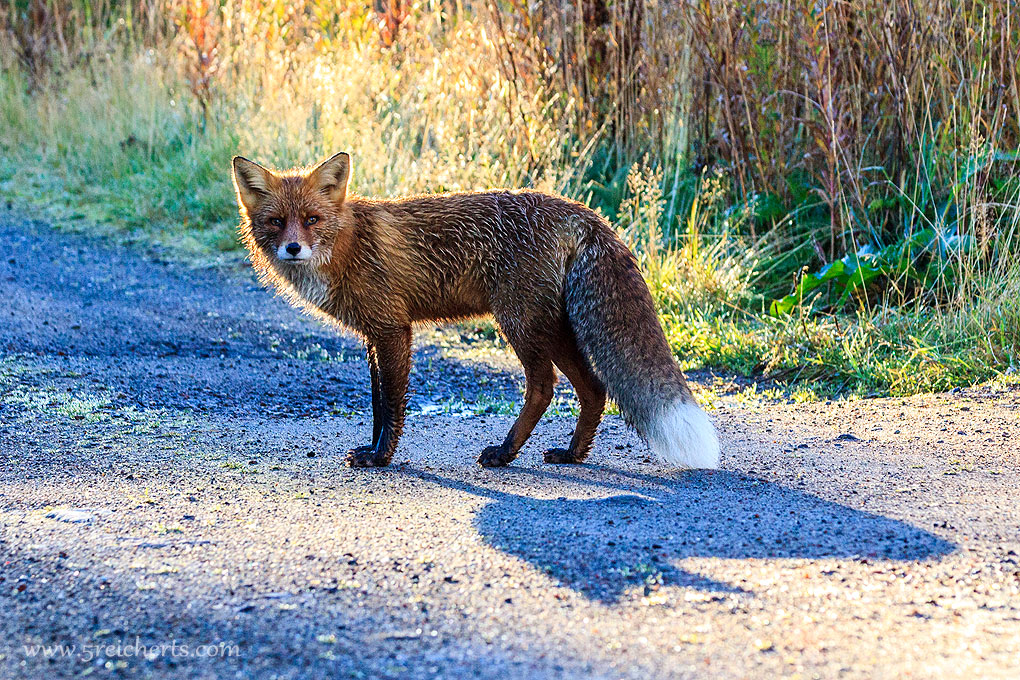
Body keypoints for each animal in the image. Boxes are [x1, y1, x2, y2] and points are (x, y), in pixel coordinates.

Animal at [232, 151, 726, 471]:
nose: (293, 248)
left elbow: (390, 405)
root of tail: (582, 211)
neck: (347, 246)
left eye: (311, 220)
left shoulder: (393, 329)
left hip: (520, 323)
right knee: (593, 389)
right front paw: (373, 450)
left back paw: (505, 454)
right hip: (554, 327)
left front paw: (381, 458)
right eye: (276, 222)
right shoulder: (373, 333)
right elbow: (375, 403)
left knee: (544, 388)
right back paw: (571, 455)